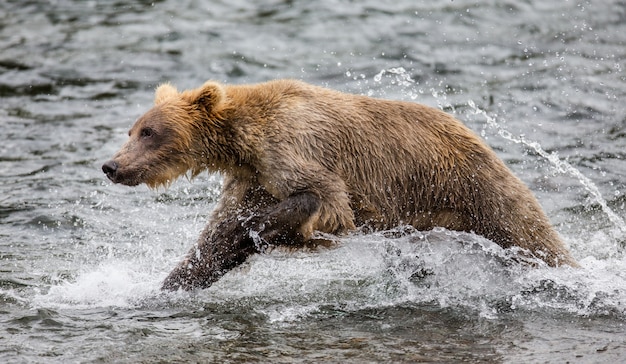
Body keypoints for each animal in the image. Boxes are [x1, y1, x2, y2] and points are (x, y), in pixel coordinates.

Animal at [101, 79, 576, 290]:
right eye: (132, 130)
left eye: (149, 132)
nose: (111, 165)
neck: (241, 142)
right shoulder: (254, 177)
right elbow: (213, 237)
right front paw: (173, 282)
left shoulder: (292, 149)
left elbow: (325, 202)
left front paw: (260, 233)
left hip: (474, 187)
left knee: (532, 236)